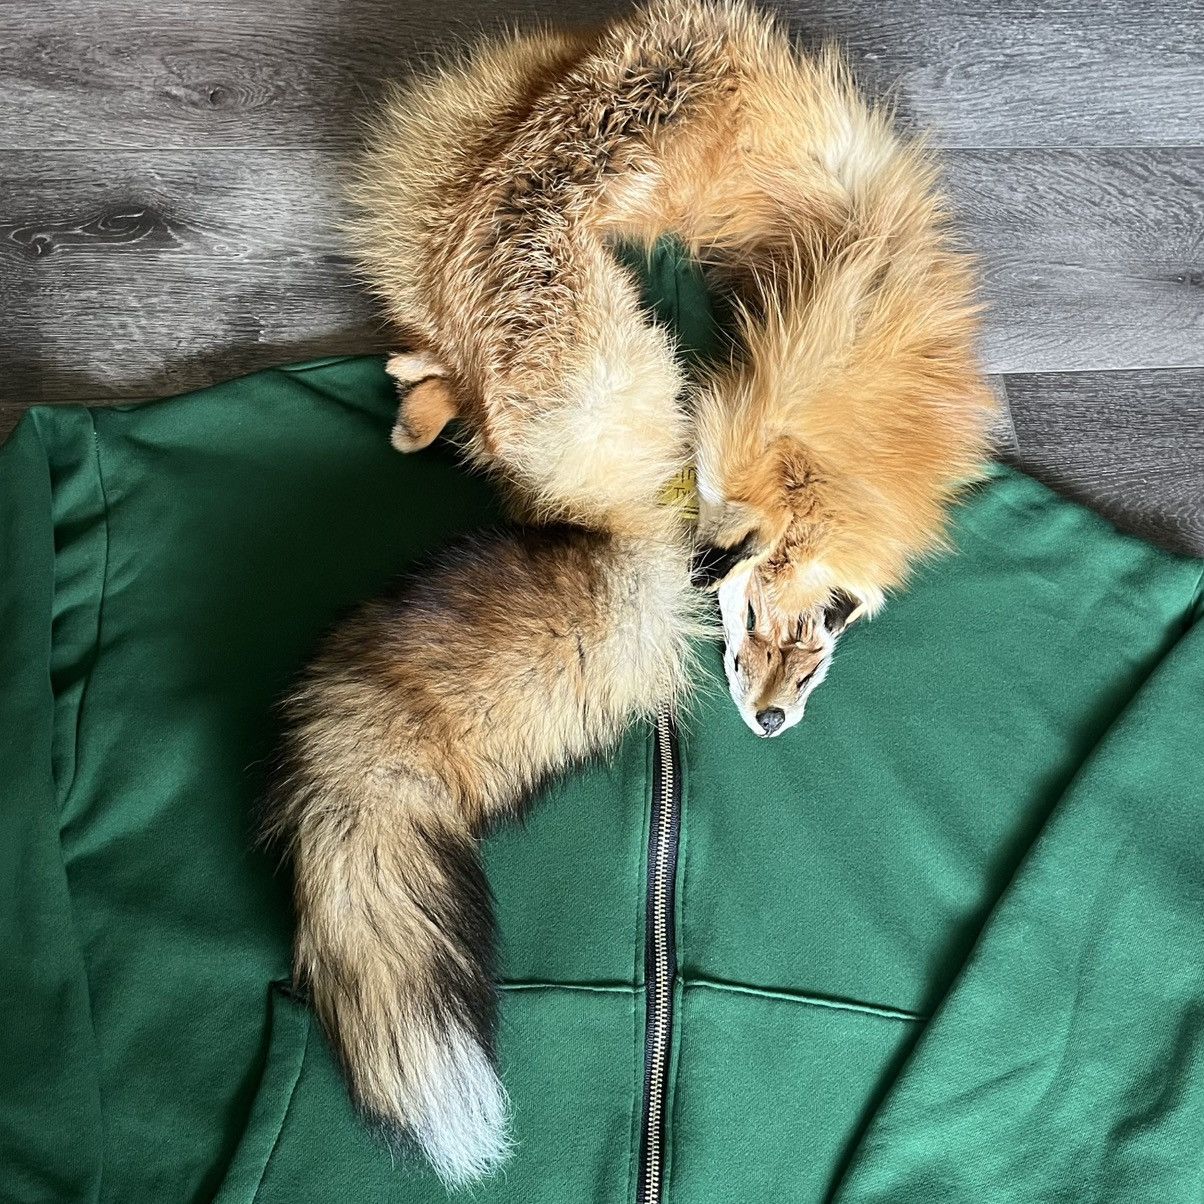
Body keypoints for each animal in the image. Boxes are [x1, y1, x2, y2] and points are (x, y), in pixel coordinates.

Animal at [268, 0, 997, 1188]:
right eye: (778, 620)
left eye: (822, 647)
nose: (778, 722)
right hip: (599, 340)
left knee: (453, 374)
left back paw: (420, 395)